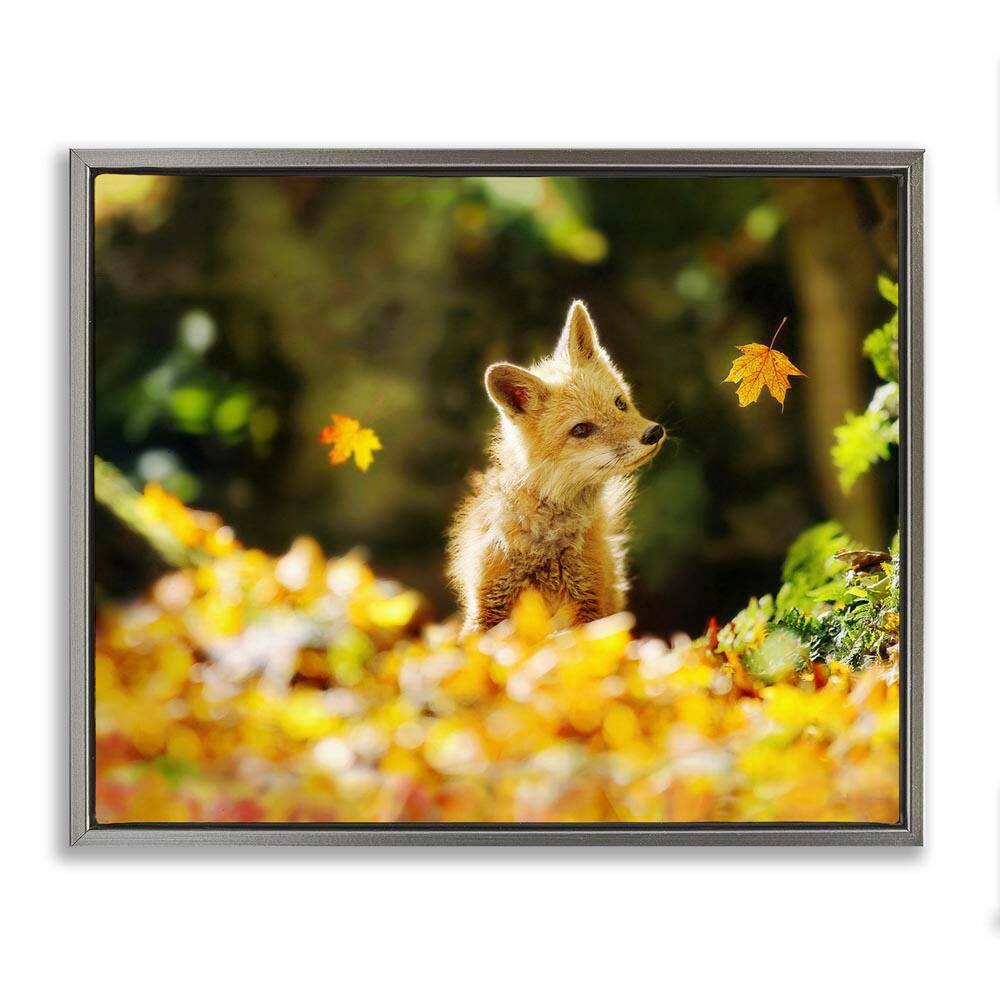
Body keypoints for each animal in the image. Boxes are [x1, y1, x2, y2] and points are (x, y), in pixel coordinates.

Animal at [447, 300, 665, 634]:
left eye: (619, 404)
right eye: (581, 430)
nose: (653, 433)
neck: (546, 547)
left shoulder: (588, 604)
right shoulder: (488, 604)